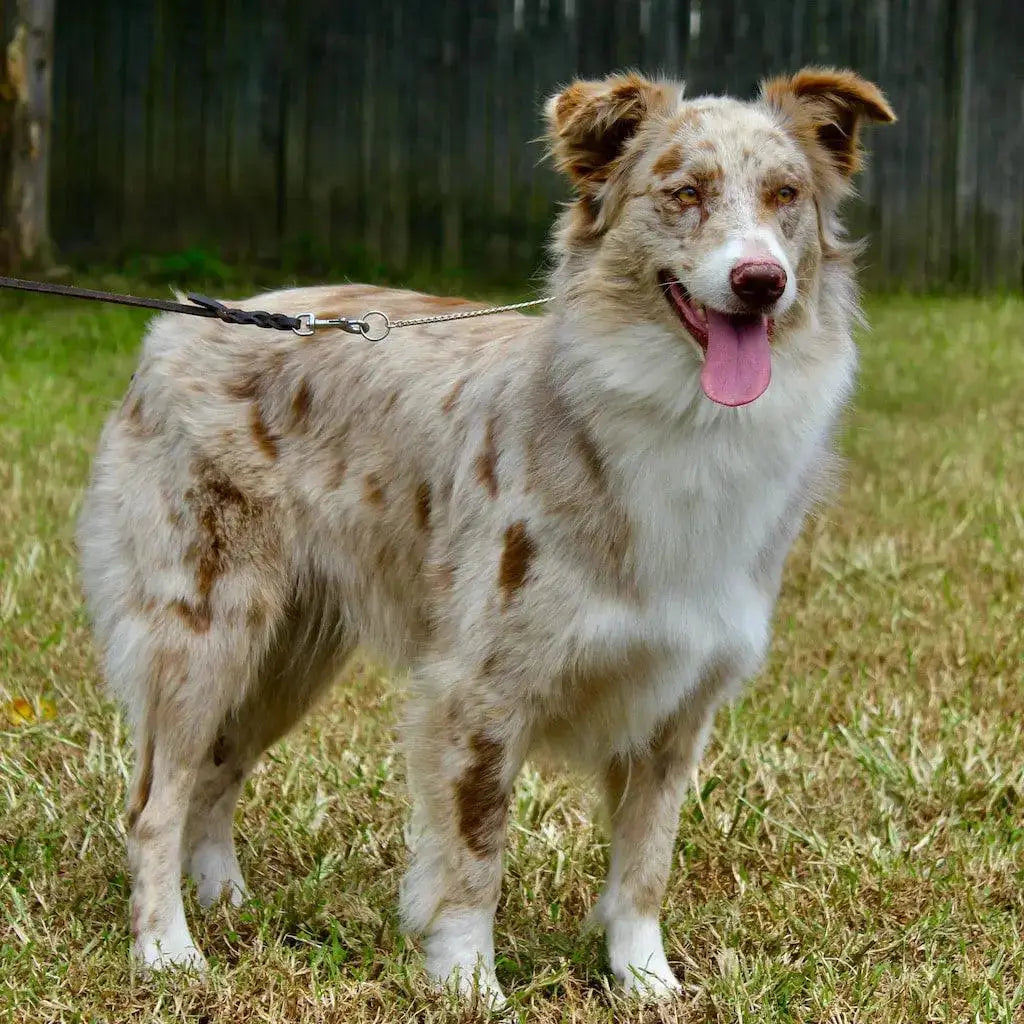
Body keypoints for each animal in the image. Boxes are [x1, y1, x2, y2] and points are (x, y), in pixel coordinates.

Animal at [79, 68, 892, 1003]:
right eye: (684, 193)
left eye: (786, 195)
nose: (760, 281)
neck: (683, 418)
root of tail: (180, 323)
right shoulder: (479, 690)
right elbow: (474, 857)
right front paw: (469, 983)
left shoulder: (679, 701)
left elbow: (645, 863)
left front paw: (645, 979)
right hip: (206, 633)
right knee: (154, 802)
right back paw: (168, 949)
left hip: (289, 654)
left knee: (217, 771)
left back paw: (222, 898)